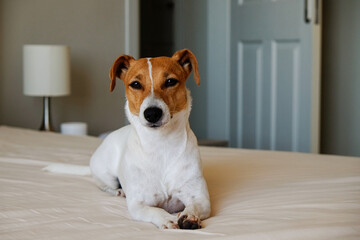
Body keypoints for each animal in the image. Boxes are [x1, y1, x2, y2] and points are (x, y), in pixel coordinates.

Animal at [89, 48, 211, 229]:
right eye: (135, 84)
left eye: (170, 81)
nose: (152, 113)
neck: (161, 144)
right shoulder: (138, 205)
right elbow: (155, 210)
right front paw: (167, 218)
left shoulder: (200, 198)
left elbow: (194, 206)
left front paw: (189, 216)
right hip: (105, 173)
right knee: (103, 185)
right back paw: (119, 191)